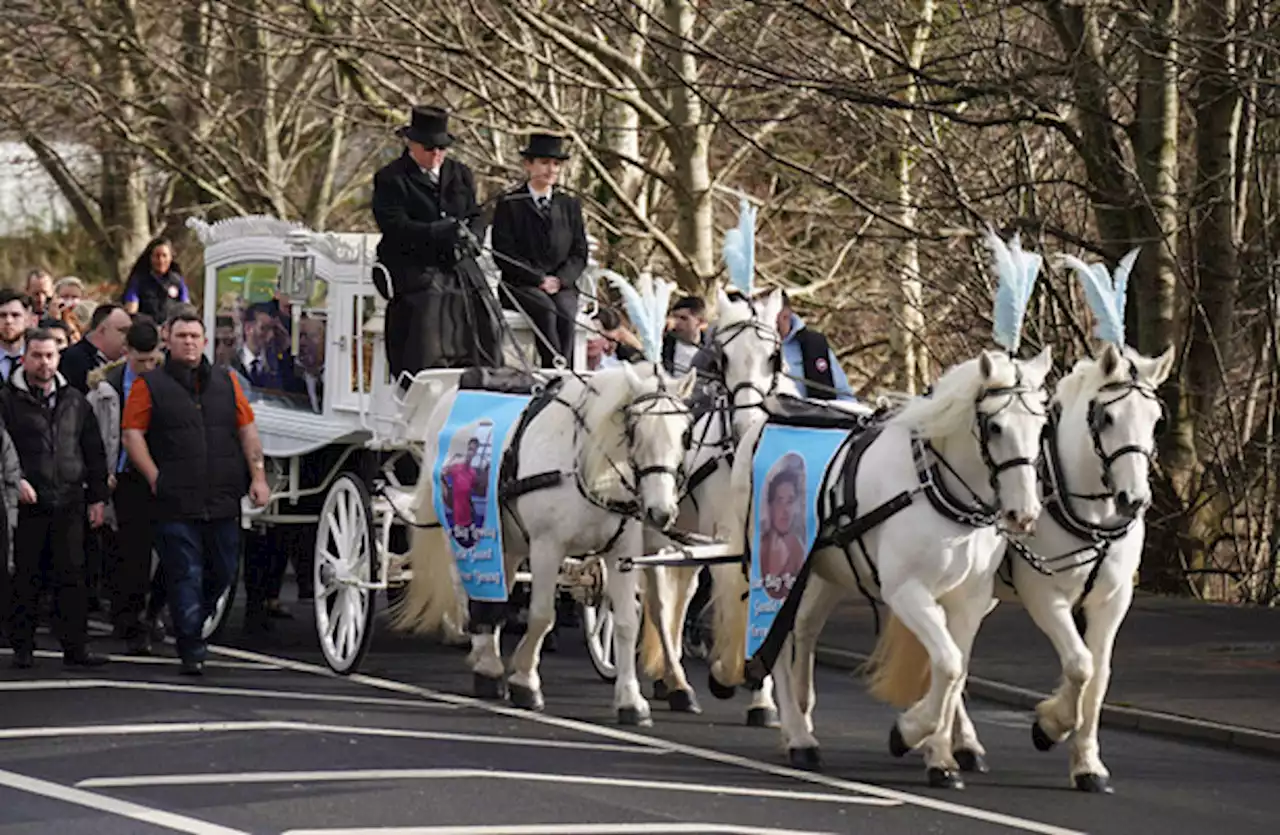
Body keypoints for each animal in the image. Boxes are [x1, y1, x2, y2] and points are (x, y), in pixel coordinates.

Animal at [396, 363, 696, 722]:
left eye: (685, 434)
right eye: (634, 431)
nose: (661, 512)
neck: (583, 468)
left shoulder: (621, 553)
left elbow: (626, 622)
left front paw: (630, 700)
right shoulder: (546, 547)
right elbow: (542, 616)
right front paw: (525, 680)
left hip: (507, 540)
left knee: (497, 594)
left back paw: (489, 657)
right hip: (458, 532)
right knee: (466, 589)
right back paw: (485, 660)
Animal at [632, 288, 788, 722]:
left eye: (774, 356)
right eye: (723, 359)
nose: (748, 423)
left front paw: (761, 696)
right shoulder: (724, 536)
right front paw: (726, 673)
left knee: (681, 595)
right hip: (656, 530)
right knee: (659, 600)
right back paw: (678, 682)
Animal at [706, 348, 1054, 788]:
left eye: (1041, 426)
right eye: (995, 426)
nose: (1023, 514)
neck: (932, 483)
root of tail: (759, 423)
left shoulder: (969, 600)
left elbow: (954, 672)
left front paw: (940, 757)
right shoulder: (906, 592)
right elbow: (947, 663)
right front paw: (908, 732)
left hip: (826, 569)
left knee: (804, 628)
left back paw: (799, 717)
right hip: (770, 567)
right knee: (778, 639)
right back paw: (799, 737)